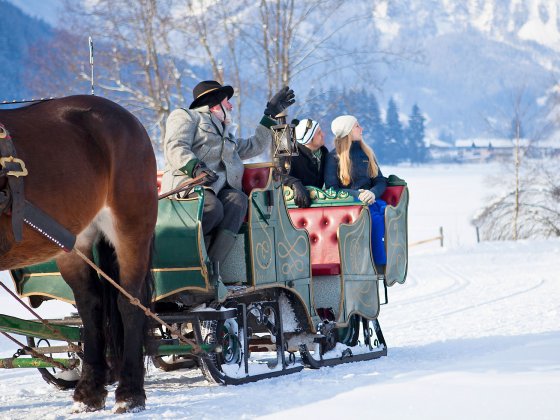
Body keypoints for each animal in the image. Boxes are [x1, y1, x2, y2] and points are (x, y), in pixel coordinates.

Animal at [0, 96, 158, 414]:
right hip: (73, 241)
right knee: (90, 306)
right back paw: (88, 392)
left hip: (132, 228)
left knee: (130, 304)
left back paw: (130, 393)